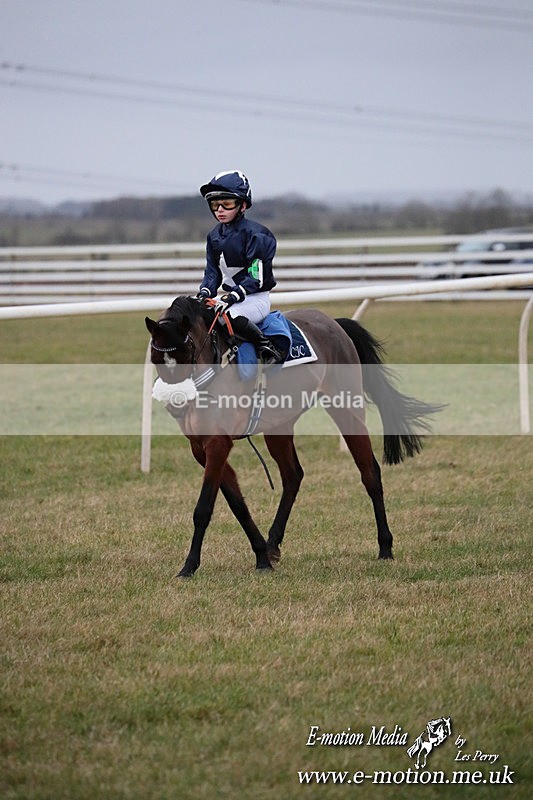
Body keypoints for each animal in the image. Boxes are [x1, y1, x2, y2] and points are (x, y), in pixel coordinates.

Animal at [145, 296, 440, 577]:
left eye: (187, 353)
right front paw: (262, 556)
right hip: (280, 425)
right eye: (157, 359)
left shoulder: (218, 443)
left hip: (346, 408)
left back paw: (385, 547)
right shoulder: (201, 447)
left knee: (370, 472)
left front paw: (189, 566)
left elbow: (204, 508)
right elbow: (238, 504)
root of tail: (333, 322)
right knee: (292, 475)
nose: (176, 403)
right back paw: (273, 544)